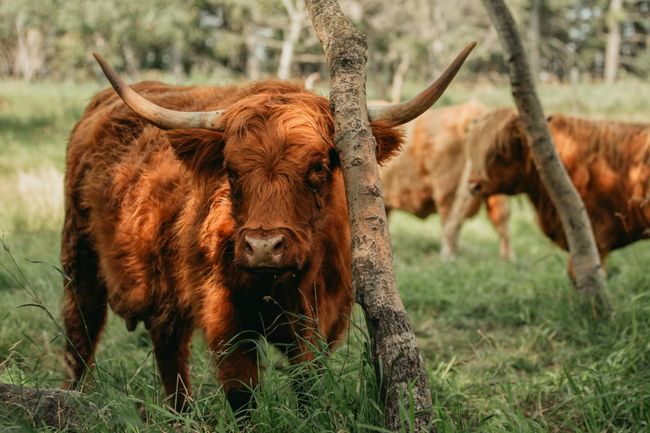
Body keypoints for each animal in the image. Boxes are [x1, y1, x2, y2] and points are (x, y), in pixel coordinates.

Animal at [61, 47, 473, 414]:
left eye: (318, 167)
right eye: (230, 170)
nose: (262, 246)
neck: (280, 285)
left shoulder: (322, 318)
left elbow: (309, 383)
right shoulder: (224, 318)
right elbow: (242, 393)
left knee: (168, 345)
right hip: (78, 256)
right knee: (81, 332)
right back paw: (72, 399)